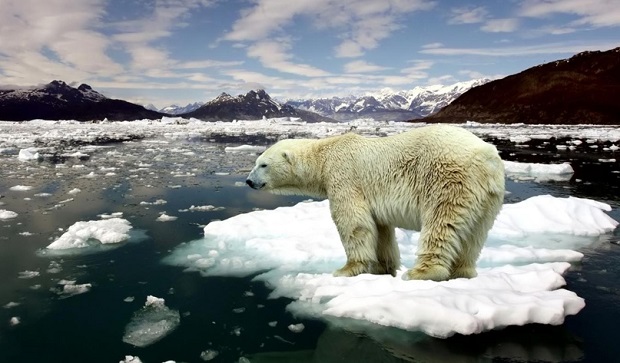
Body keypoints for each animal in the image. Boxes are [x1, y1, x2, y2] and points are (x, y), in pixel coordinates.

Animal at [245, 125, 506, 282]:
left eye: (263, 164)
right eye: (256, 162)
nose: (248, 181)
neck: (324, 155)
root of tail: (487, 157)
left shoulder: (344, 176)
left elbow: (353, 222)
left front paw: (346, 269)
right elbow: (380, 229)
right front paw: (383, 267)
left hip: (448, 179)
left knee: (441, 223)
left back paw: (421, 272)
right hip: (488, 197)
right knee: (475, 234)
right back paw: (463, 272)